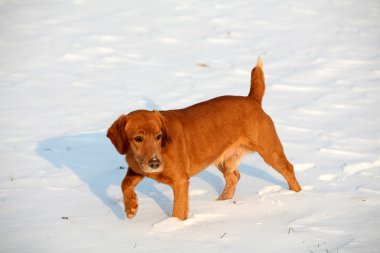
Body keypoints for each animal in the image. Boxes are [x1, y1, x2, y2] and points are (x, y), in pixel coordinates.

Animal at [107, 58, 302, 220]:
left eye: (158, 136)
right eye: (138, 138)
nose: (155, 163)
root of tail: (252, 99)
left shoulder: (180, 182)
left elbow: (178, 212)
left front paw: (173, 226)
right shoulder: (136, 169)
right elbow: (124, 184)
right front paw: (131, 208)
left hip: (270, 151)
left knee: (288, 169)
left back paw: (297, 196)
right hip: (222, 159)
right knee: (234, 177)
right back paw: (221, 202)